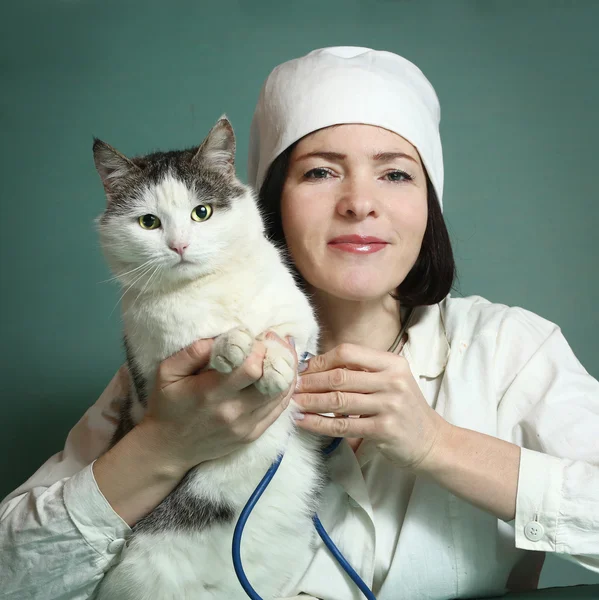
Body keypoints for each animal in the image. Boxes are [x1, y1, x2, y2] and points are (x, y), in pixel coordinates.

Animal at [93, 117, 326, 600]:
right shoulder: (153, 365)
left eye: (202, 212)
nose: (179, 245)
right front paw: (231, 345)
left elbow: (285, 336)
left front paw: (273, 364)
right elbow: (209, 344)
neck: (211, 286)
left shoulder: (303, 322)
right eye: (148, 222)